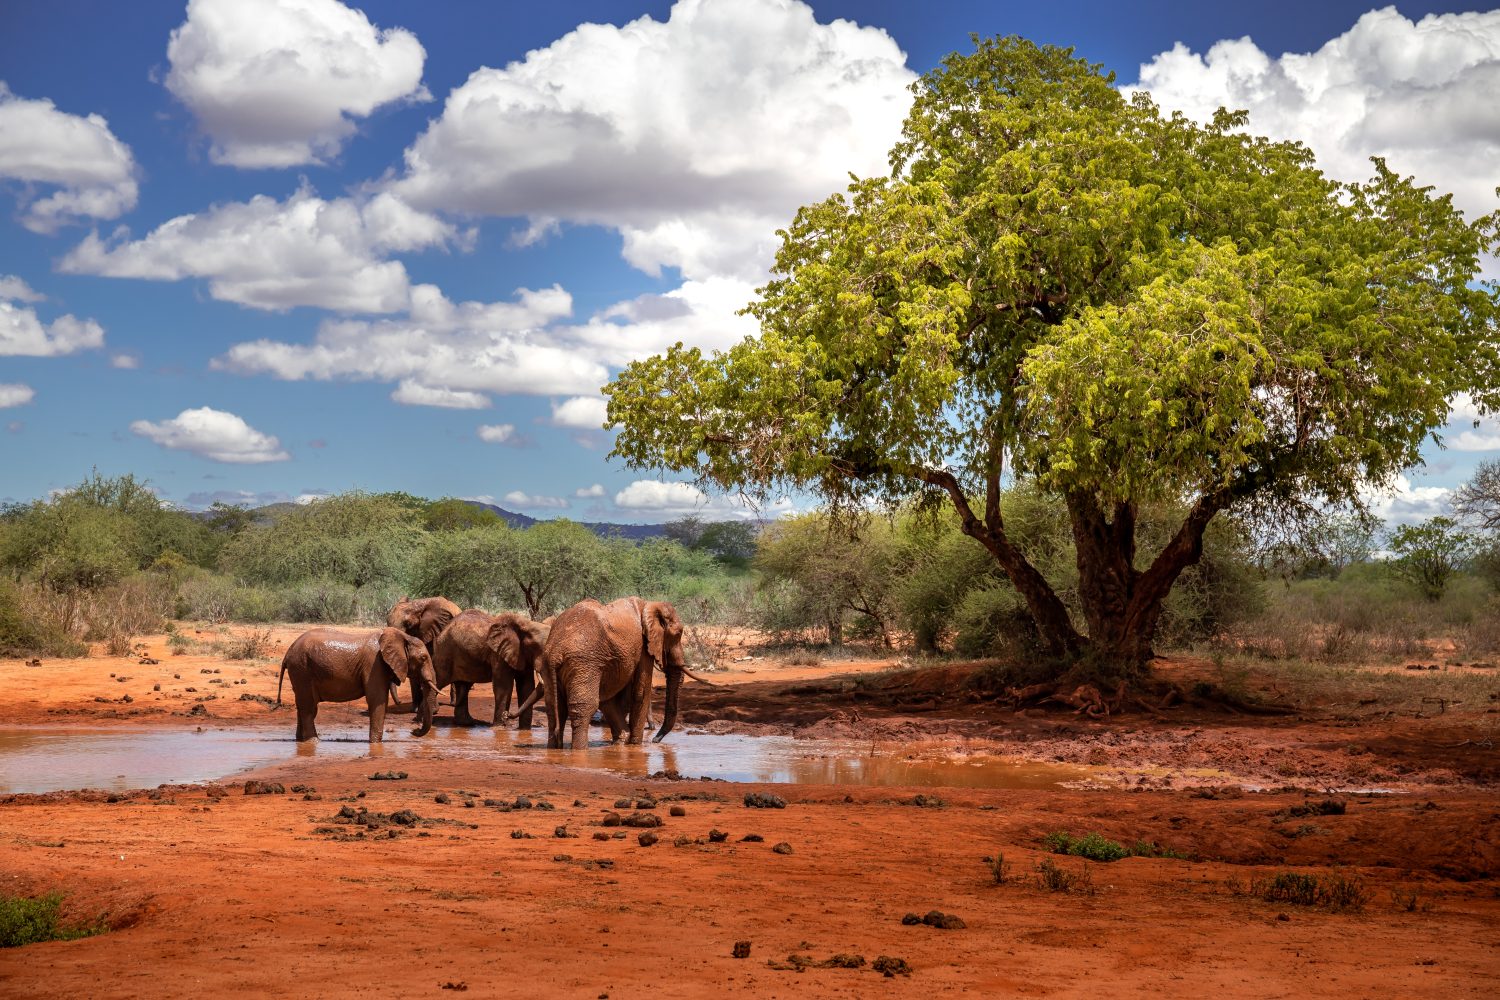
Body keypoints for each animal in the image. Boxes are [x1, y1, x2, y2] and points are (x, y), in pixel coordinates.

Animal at [277, 626, 438, 743]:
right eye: (423, 658)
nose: (413, 731)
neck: (402, 636)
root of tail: (288, 652)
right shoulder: (374, 665)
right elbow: (377, 700)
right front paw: (375, 744)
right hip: (302, 669)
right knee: (309, 707)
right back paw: (313, 742)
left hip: (300, 671)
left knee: (302, 705)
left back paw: (301, 740)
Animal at [546, 593, 690, 749]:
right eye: (678, 634)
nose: (655, 740)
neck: (650, 604)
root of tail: (556, 654)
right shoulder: (643, 647)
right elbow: (640, 692)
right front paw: (635, 745)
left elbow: (609, 698)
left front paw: (622, 741)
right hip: (583, 662)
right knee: (583, 707)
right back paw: (580, 751)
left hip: (548, 663)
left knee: (555, 708)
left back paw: (554, 749)